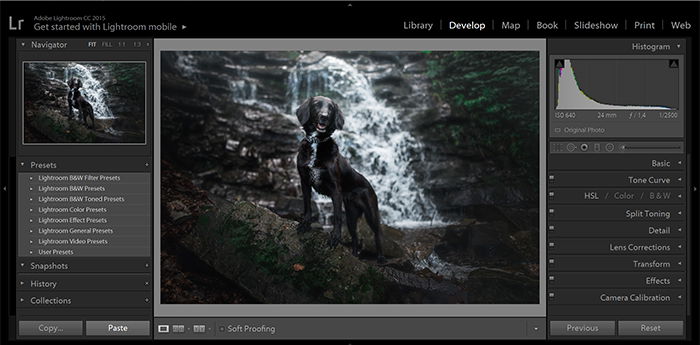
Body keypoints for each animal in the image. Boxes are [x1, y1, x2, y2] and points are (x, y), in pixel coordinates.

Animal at [294, 95, 386, 262]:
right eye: (316, 105)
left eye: (331, 108)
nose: (324, 116)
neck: (317, 143)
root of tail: (369, 185)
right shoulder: (304, 181)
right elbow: (307, 206)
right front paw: (305, 224)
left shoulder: (335, 190)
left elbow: (336, 216)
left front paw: (335, 237)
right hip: (351, 215)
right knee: (355, 237)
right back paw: (355, 255)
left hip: (371, 213)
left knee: (378, 233)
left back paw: (381, 258)